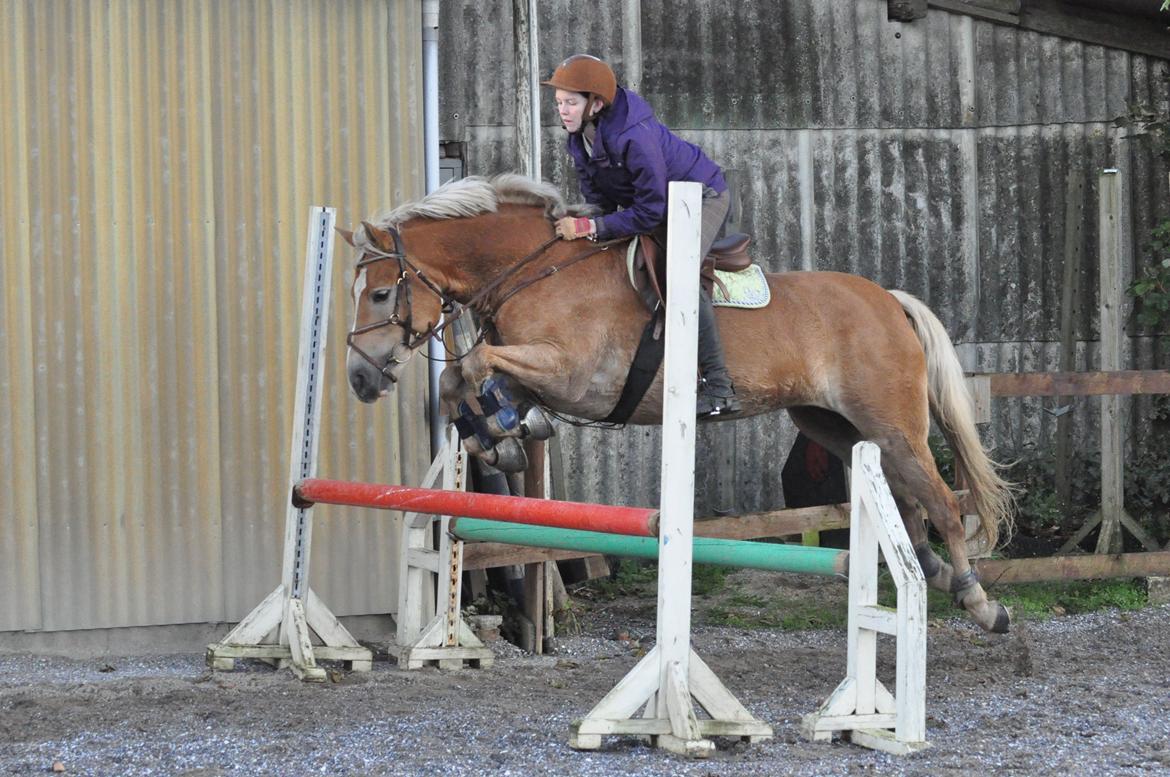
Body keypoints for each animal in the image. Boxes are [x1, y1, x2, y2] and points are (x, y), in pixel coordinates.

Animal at [339, 173, 1015, 636]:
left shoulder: (573, 373)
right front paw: (501, 439)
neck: (538, 271)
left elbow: (476, 364)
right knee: (905, 497)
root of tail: (889, 300)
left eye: (380, 294)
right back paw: (928, 572)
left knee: (942, 501)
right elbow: (461, 379)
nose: (360, 378)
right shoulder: (538, 368)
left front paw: (506, 431)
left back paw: (979, 602)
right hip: (834, 426)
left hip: (891, 421)